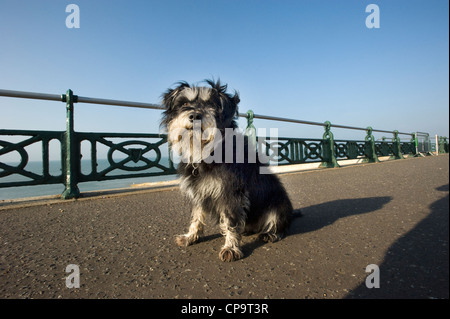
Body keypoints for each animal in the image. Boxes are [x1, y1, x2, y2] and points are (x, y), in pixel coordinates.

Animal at [160, 80, 294, 262]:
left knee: (279, 224)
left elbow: (231, 221)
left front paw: (230, 248)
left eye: (211, 105)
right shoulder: (199, 192)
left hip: (279, 204)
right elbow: (196, 217)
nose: (194, 116)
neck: (207, 152)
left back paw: (271, 234)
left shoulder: (231, 193)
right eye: (185, 104)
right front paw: (190, 237)